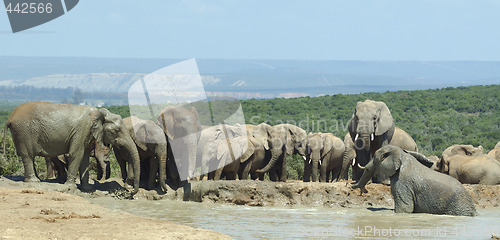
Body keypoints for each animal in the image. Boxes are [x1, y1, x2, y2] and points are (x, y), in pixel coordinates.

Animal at [3, 101, 141, 195]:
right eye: (117, 131)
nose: (129, 192)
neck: (98, 112)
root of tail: (9, 118)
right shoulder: (82, 130)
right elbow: (77, 154)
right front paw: (71, 187)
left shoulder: (87, 134)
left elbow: (84, 157)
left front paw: (87, 188)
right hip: (23, 132)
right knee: (28, 156)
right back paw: (34, 181)